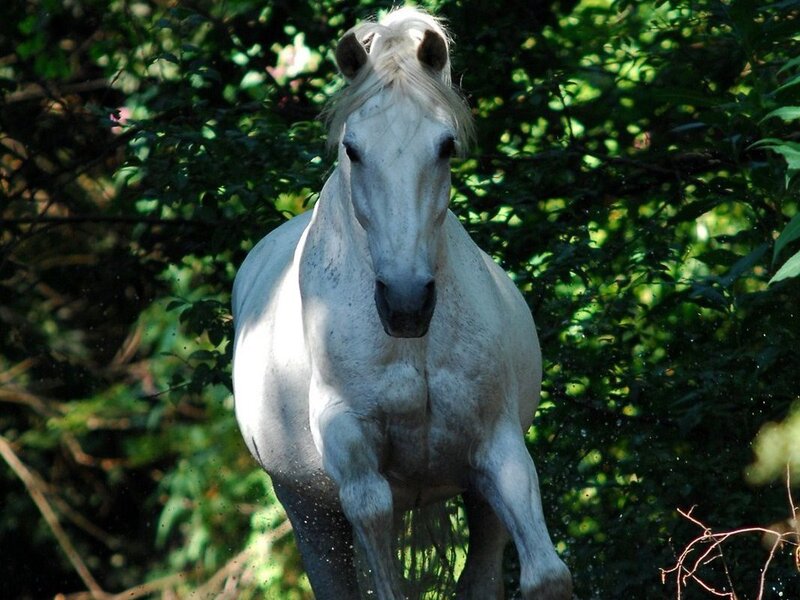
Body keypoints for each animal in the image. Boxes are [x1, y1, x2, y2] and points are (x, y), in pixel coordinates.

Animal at [232, 8, 573, 599]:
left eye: (445, 146)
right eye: (353, 149)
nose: (406, 303)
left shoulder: (499, 449)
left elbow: (547, 576)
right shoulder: (360, 477)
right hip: (308, 511)